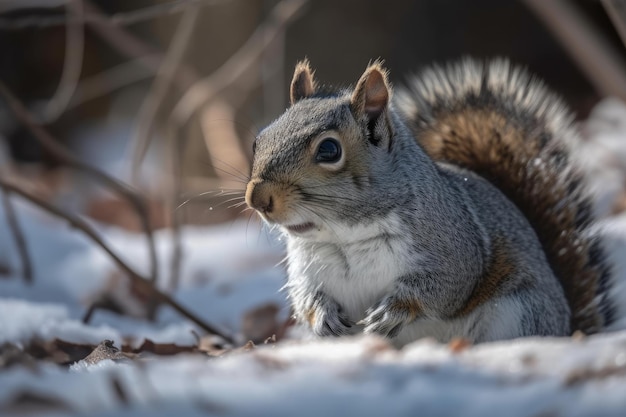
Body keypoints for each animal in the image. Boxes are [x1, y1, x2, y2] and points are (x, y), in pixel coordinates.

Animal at [243, 58, 616, 344]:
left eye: (329, 150)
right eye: (258, 140)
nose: (257, 198)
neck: (344, 235)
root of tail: (567, 326)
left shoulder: (453, 247)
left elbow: (443, 286)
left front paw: (394, 311)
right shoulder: (307, 265)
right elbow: (306, 295)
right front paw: (323, 316)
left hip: (518, 313)